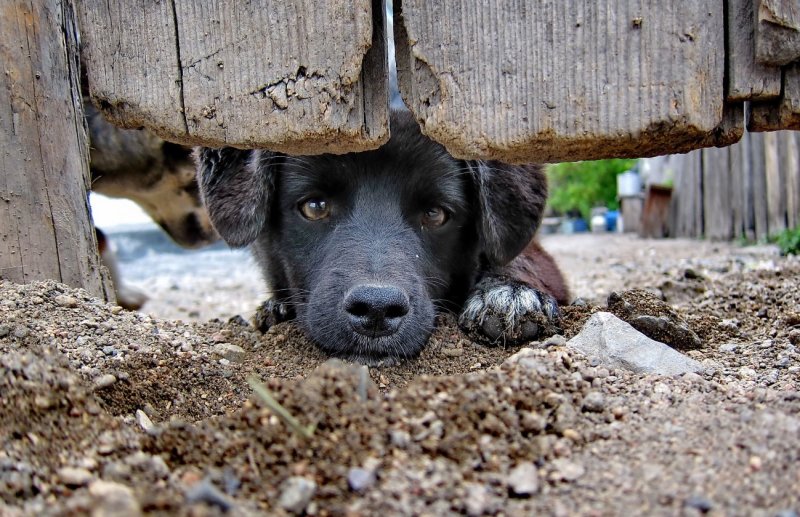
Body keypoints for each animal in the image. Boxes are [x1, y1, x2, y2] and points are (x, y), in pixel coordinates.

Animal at [196, 111, 564, 360]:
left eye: (435, 214)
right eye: (314, 206)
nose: (376, 311)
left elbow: (519, 261)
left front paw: (508, 293)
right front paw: (276, 308)